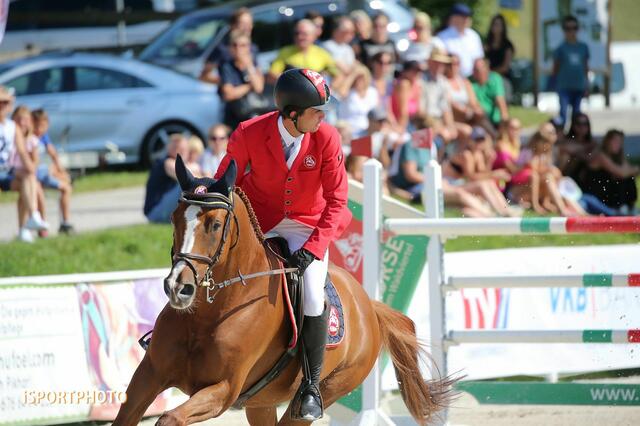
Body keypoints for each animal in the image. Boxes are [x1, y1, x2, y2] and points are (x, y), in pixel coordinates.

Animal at [114, 157, 456, 426]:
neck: (209, 313)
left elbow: (169, 417)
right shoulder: (148, 376)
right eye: (174, 219)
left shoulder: (222, 390)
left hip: (324, 391)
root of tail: (369, 307)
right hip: (260, 402)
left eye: (215, 225)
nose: (178, 287)